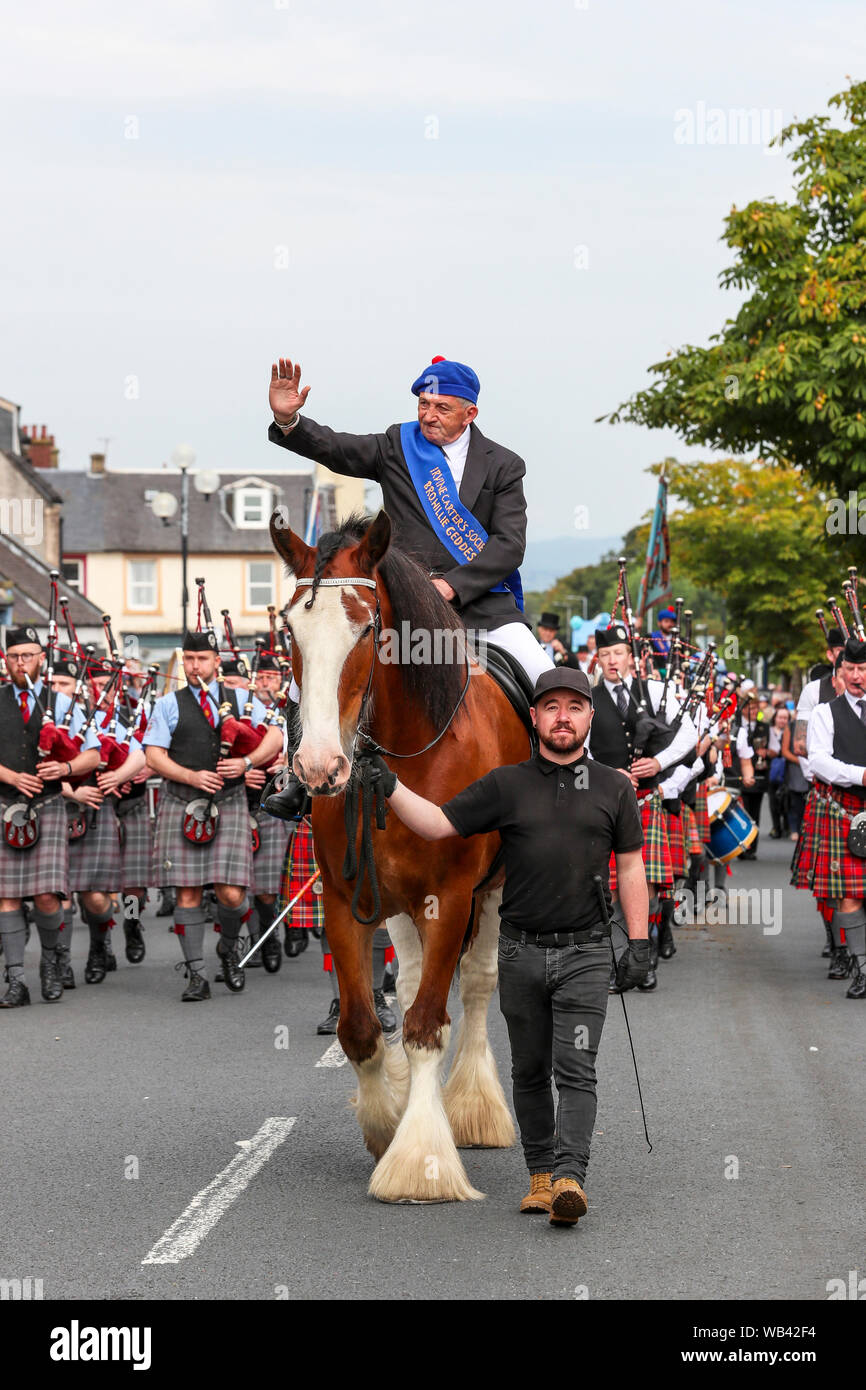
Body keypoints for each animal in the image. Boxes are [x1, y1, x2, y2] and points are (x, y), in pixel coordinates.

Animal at [271, 505, 528, 1200]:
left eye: (366, 629)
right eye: (290, 630)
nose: (319, 767)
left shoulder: (453, 897)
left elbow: (426, 1024)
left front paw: (420, 1161)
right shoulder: (343, 897)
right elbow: (363, 1027)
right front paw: (387, 1125)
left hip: (489, 894)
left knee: (475, 986)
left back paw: (472, 1108)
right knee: (412, 982)